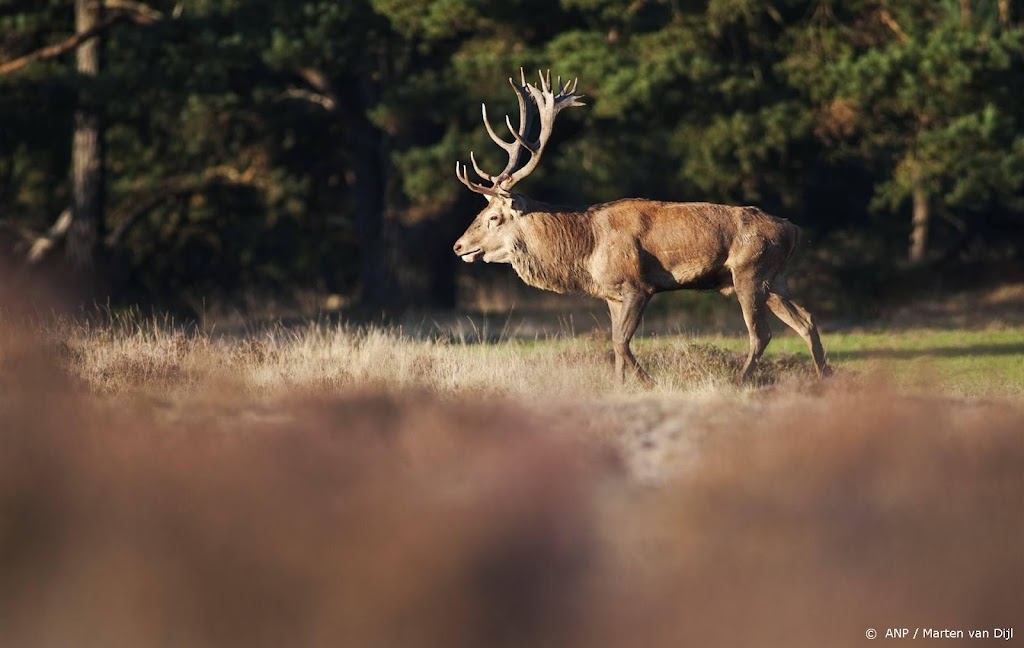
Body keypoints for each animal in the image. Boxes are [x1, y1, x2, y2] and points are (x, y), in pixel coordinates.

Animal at [452, 70, 827, 384]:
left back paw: (739, 381)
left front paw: (648, 382)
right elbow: (615, 344)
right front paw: (620, 386)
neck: (585, 250)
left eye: (493, 217)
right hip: (775, 279)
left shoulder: (637, 285)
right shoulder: (611, 295)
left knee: (761, 333)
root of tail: (793, 230)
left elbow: (621, 343)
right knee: (806, 320)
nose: (458, 246)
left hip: (750, 271)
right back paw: (825, 377)